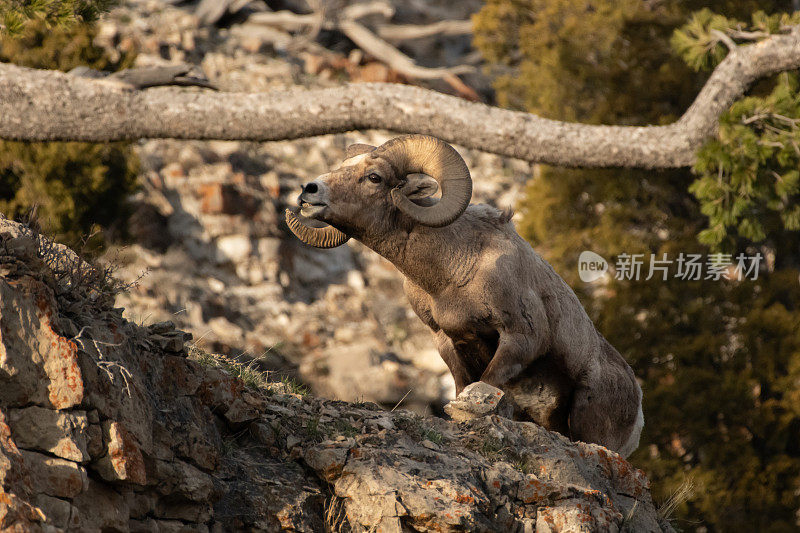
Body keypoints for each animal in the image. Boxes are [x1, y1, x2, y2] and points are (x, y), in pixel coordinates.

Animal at [288, 135, 644, 456]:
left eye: (374, 177)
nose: (310, 190)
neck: (451, 273)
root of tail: (637, 413)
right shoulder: (446, 341)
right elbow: (463, 386)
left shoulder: (521, 338)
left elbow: (483, 387)